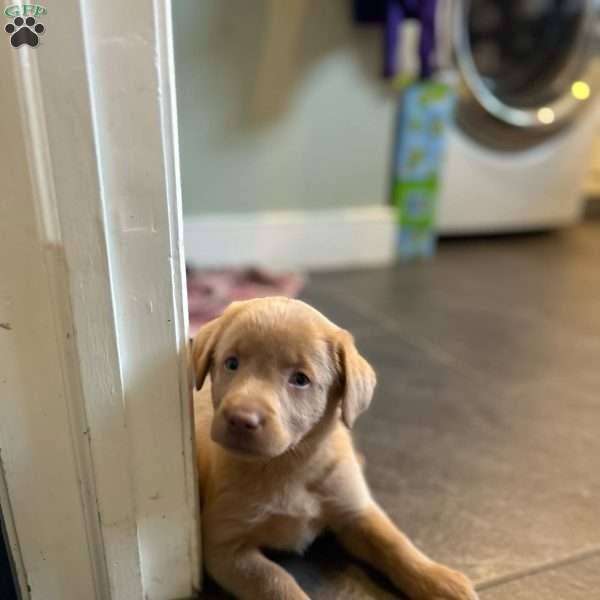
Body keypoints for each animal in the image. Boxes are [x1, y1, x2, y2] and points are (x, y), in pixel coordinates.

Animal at [192, 298, 478, 596]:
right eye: (231, 363)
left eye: (300, 379)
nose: (241, 419)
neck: (289, 463)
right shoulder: (224, 546)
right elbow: (276, 581)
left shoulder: (354, 509)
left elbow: (393, 540)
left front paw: (439, 580)